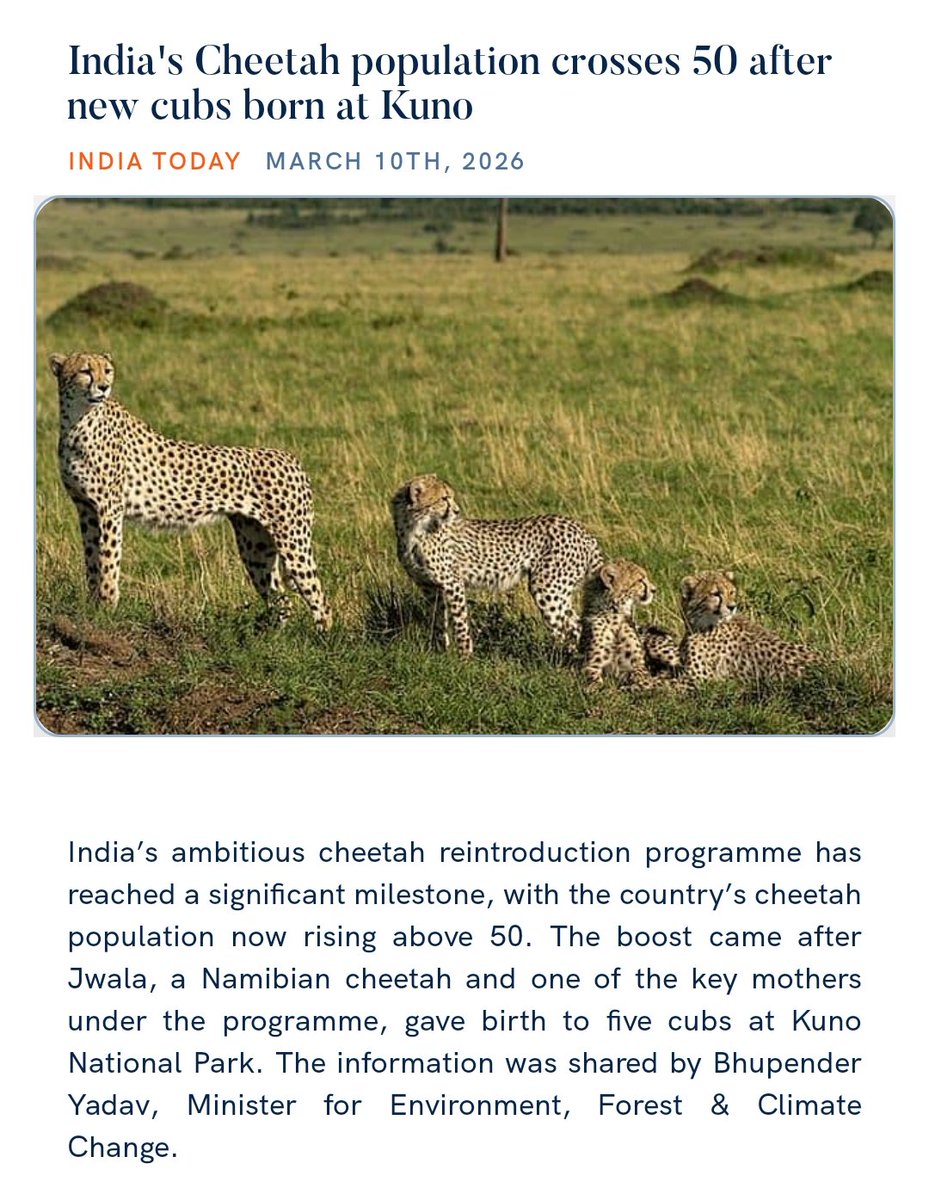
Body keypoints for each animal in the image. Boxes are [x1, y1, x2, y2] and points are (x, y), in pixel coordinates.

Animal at [49, 351, 332, 630]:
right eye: (86, 371)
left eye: (107, 370)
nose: (104, 387)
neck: (78, 420)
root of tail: (289, 457)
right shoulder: (86, 509)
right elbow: (92, 560)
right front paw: (92, 606)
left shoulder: (109, 509)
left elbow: (108, 560)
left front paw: (106, 609)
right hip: (256, 547)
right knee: (280, 598)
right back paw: (271, 637)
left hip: (292, 540)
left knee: (319, 598)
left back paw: (321, 637)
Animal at [391, 473, 603, 656]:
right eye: (443, 498)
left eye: (449, 496)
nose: (457, 511)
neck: (414, 529)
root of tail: (581, 529)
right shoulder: (429, 586)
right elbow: (437, 621)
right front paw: (440, 652)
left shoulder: (453, 583)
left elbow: (460, 623)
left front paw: (465, 657)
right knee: (575, 625)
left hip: (547, 588)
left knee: (572, 626)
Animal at [580, 559, 657, 687]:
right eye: (640, 580)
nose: (654, 590)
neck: (615, 612)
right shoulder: (592, 664)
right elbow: (594, 681)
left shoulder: (638, 663)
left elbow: (641, 676)